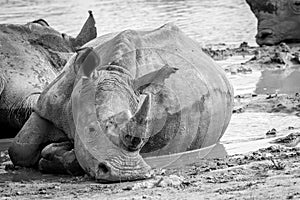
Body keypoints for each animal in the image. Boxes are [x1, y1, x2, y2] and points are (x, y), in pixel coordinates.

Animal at [8, 23, 234, 181]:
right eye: (89, 129)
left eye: (142, 140)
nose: (129, 173)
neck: (112, 71)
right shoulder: (46, 106)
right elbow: (19, 149)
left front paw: (55, 153)